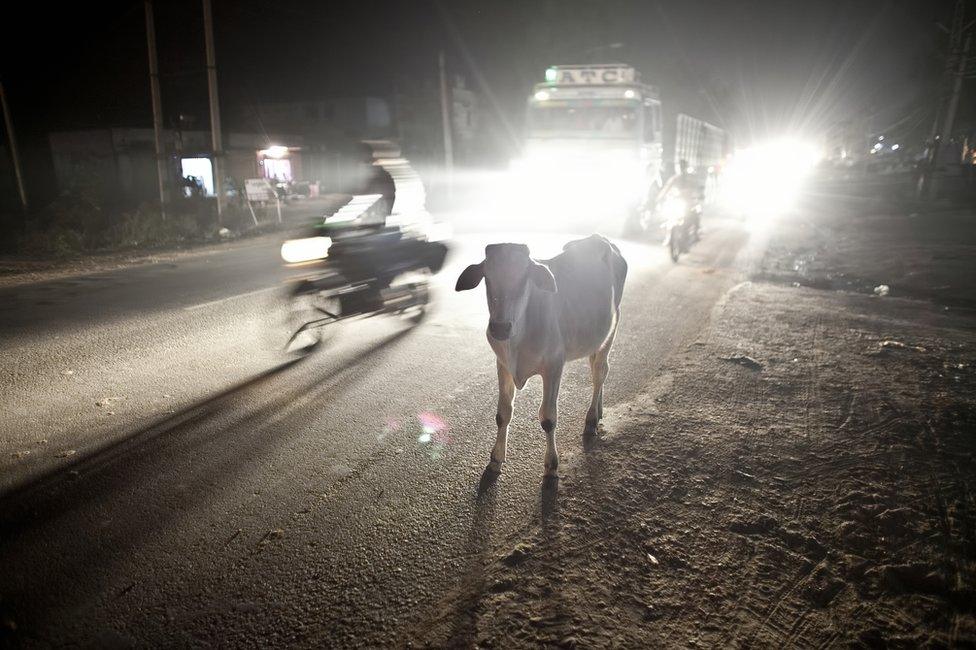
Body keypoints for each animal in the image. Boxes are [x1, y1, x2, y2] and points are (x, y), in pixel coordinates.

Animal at [456, 233, 628, 476]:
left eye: (524, 279)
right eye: (487, 278)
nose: (500, 328)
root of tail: (601, 239)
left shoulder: (554, 366)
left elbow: (548, 418)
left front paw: (551, 465)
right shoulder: (503, 365)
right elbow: (503, 414)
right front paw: (496, 458)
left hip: (612, 328)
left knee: (599, 373)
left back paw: (591, 419)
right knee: (598, 369)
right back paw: (600, 410)